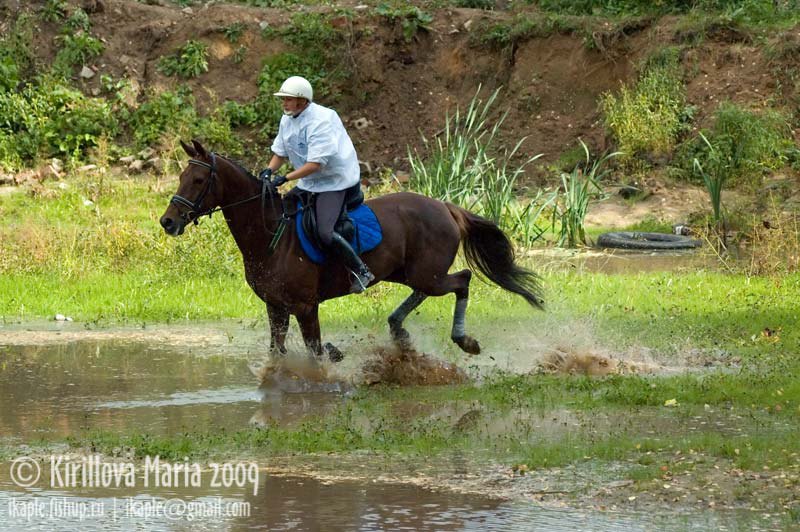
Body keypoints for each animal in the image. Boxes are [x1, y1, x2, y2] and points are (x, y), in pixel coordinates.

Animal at [159, 139, 544, 362]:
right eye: (180, 177)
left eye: (197, 180)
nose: (167, 221)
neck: (270, 238)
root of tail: (446, 207)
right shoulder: (275, 307)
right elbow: (278, 352)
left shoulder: (305, 307)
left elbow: (315, 351)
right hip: (408, 273)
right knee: (428, 290)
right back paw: (398, 330)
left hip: (429, 274)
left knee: (462, 280)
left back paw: (463, 340)